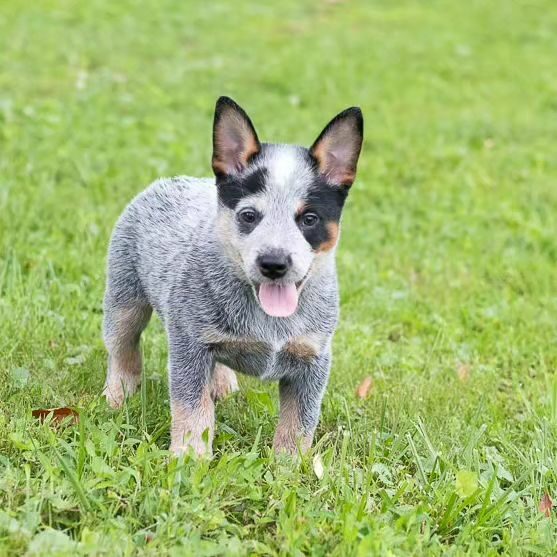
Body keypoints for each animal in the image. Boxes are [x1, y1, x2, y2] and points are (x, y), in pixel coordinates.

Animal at [103, 97, 364, 456]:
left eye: (309, 219)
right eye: (249, 216)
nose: (274, 263)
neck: (270, 322)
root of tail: (170, 179)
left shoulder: (313, 360)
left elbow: (298, 425)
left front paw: (289, 466)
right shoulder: (191, 346)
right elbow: (193, 412)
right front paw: (189, 460)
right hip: (124, 298)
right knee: (122, 348)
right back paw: (118, 394)